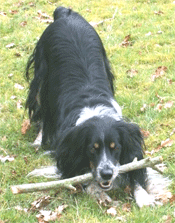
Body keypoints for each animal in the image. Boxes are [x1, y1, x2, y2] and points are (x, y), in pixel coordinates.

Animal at [26, 6, 170, 208]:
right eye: (92, 148)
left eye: (115, 147)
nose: (107, 174)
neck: (93, 107)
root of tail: (65, 13)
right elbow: (78, 176)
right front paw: (97, 192)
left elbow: (137, 170)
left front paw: (144, 197)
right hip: (41, 75)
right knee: (41, 111)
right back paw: (38, 140)